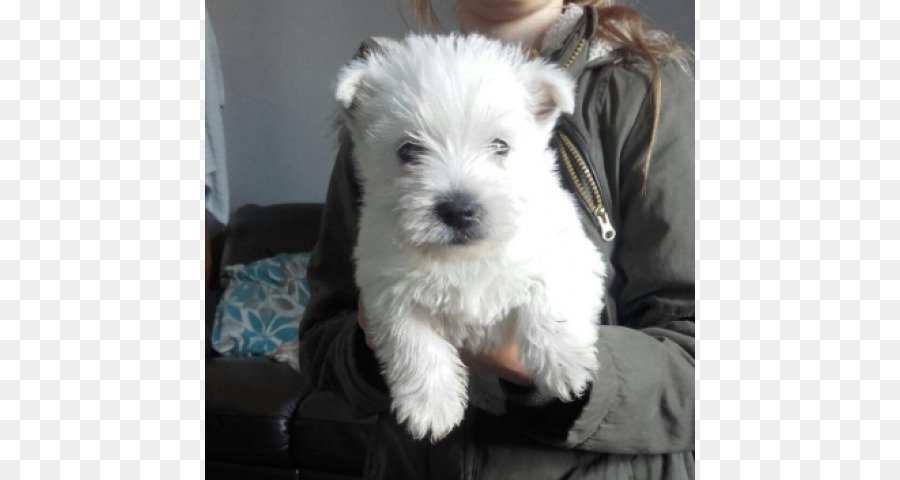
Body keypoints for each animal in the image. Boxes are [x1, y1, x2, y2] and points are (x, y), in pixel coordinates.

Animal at [336, 33, 604, 442]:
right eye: (408, 150)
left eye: (500, 146)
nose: (458, 210)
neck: (464, 257)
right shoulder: (387, 291)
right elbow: (414, 344)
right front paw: (430, 409)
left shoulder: (568, 249)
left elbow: (551, 296)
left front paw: (565, 364)